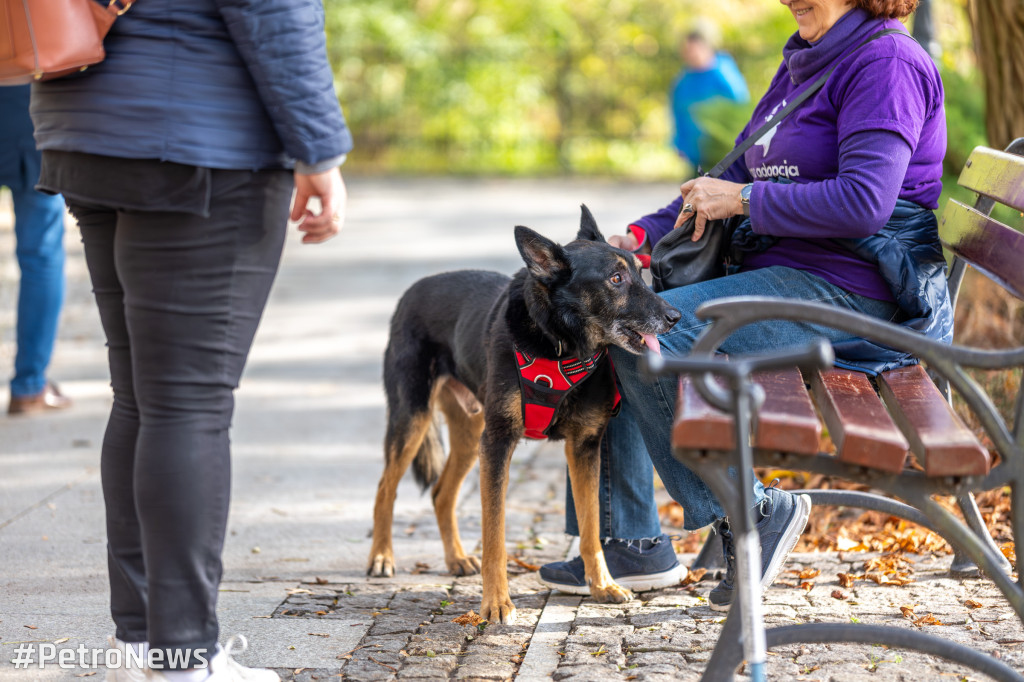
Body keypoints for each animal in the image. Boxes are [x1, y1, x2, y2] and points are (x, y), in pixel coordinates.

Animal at [368, 205, 679, 622]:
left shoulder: (584, 447)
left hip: (470, 435)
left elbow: (591, 527)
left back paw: (456, 558)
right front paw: (496, 602)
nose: (675, 316)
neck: (559, 343)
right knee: (385, 488)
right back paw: (382, 557)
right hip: (414, 420)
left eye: (640, 272)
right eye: (616, 279)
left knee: (441, 493)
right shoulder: (498, 444)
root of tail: (411, 291)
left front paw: (602, 585)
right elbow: (495, 533)